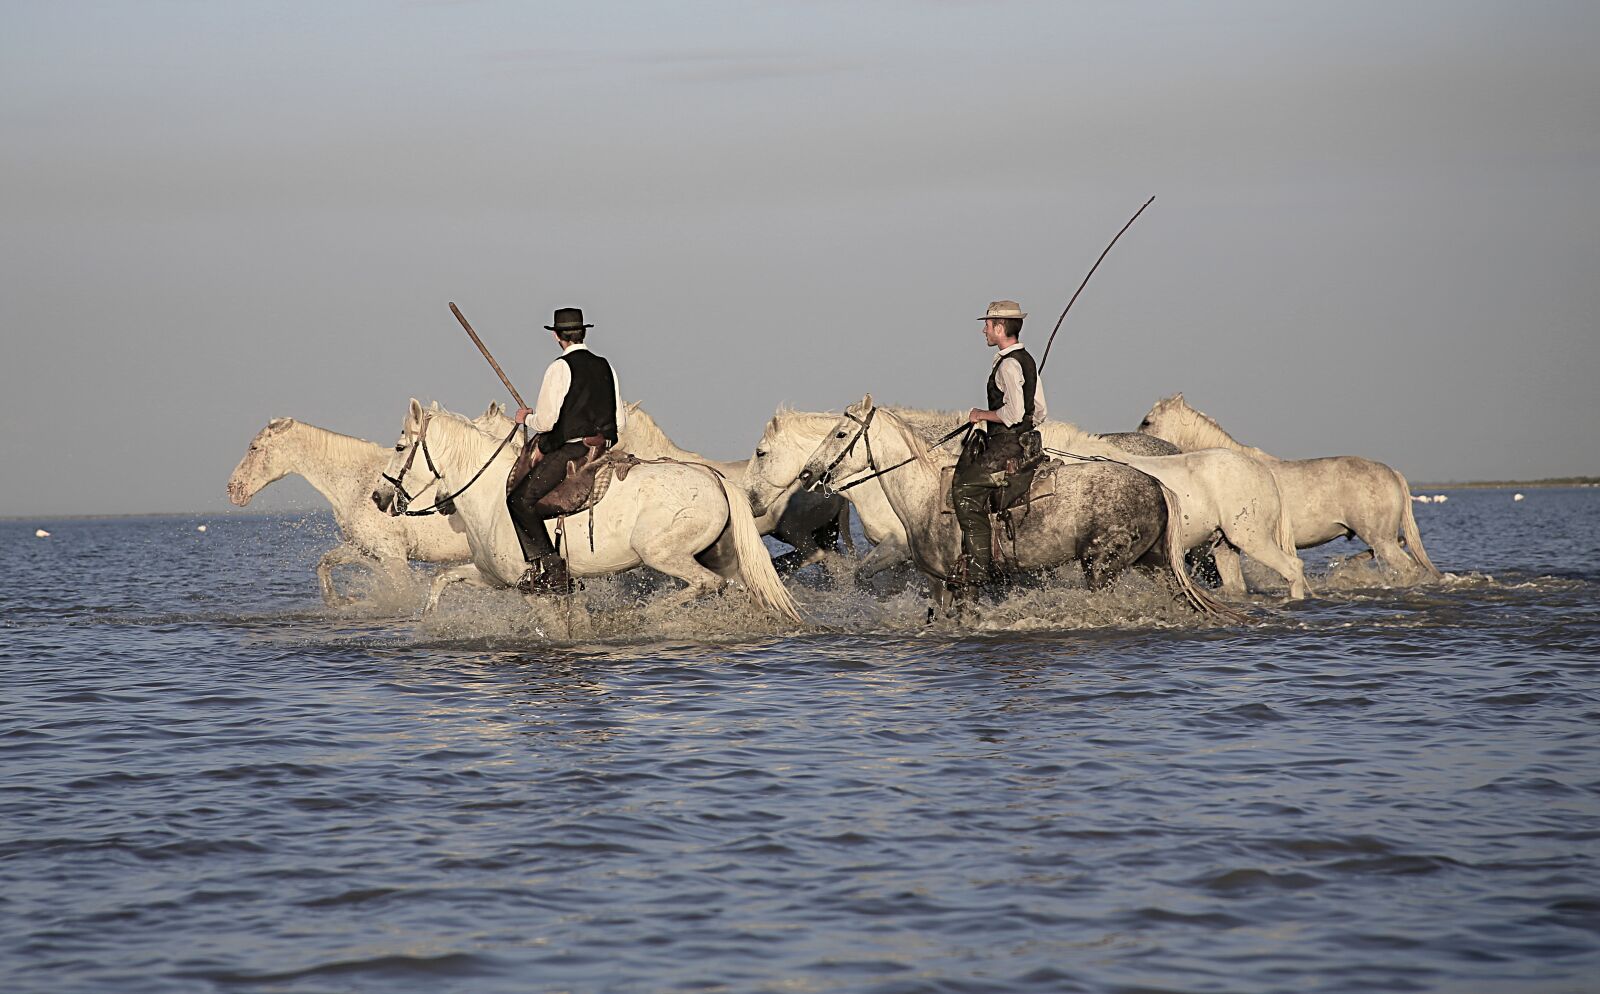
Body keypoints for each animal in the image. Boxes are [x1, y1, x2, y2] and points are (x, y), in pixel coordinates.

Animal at [226, 416, 473, 605]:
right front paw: (342, 602)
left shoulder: (392, 556)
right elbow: (325, 563)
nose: (233, 489)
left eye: (254, 448)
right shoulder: (362, 548)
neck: (361, 484)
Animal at [371, 400, 801, 622]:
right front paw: (428, 622)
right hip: (722, 555)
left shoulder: (534, 589)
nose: (378, 497)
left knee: (706, 584)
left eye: (399, 447)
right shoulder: (494, 577)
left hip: (663, 554)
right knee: (741, 589)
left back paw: (641, 614)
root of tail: (715, 478)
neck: (491, 495)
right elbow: (442, 580)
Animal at [754, 396, 1237, 619]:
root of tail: (1157, 484)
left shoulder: (928, 567)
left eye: (840, 434)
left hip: (1103, 566)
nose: (808, 475)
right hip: (1154, 563)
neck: (924, 491)